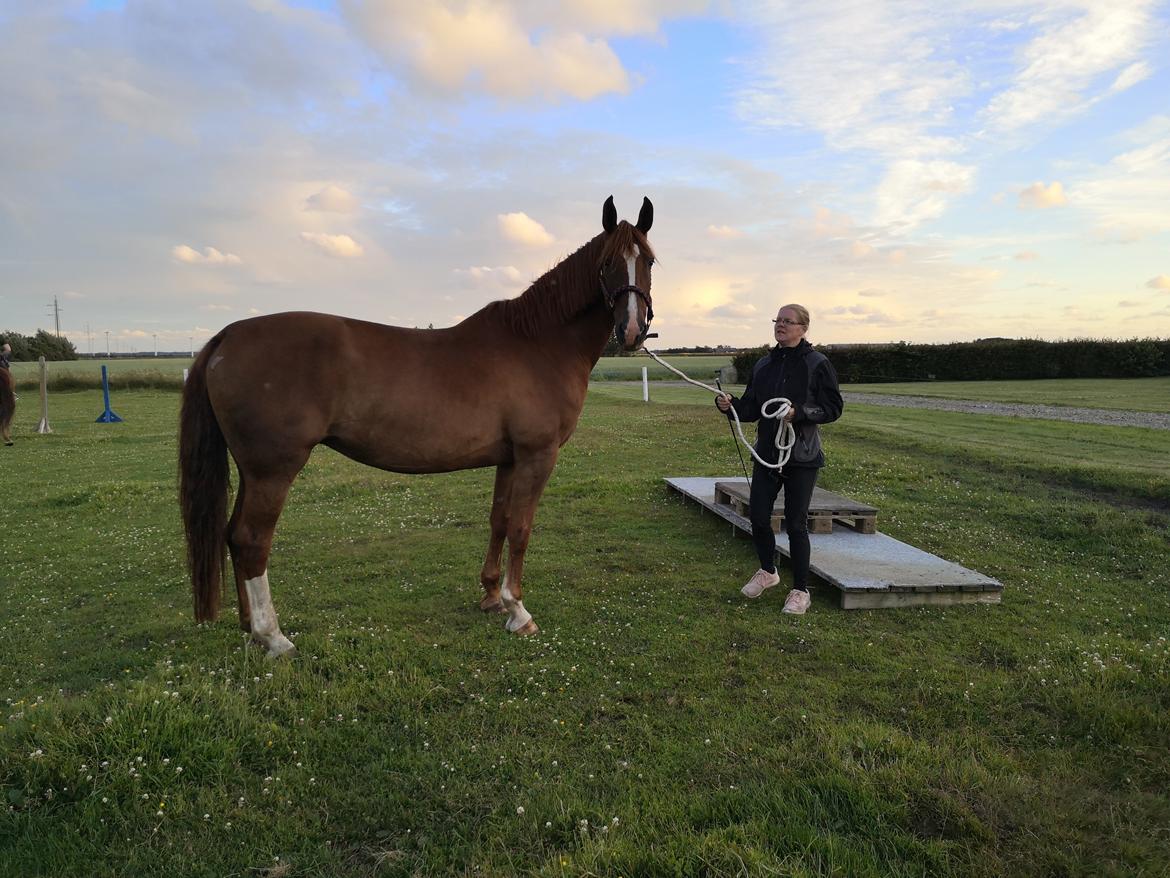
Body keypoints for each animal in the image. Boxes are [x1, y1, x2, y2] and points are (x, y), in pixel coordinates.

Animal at [183, 195, 659, 655]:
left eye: (649, 261)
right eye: (607, 263)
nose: (632, 329)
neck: (537, 345)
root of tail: (228, 335)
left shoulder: (509, 459)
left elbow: (499, 521)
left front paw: (491, 596)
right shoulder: (536, 456)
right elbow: (521, 529)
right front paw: (518, 611)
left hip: (252, 471)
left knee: (233, 535)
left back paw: (250, 627)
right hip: (273, 470)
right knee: (251, 540)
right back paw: (273, 637)